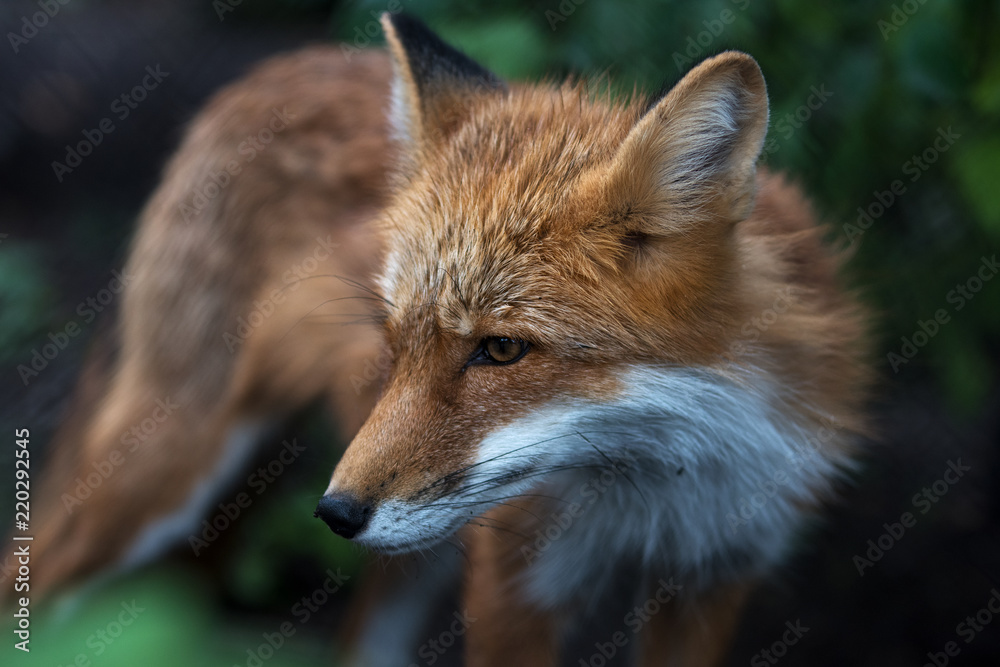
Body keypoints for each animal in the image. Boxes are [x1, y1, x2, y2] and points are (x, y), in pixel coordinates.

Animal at [10, 12, 869, 667]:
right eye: (392, 339)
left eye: (501, 348)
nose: (336, 513)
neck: (661, 483)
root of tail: (289, 62)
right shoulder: (517, 581)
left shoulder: (715, 574)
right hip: (165, 468)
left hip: (411, 546)